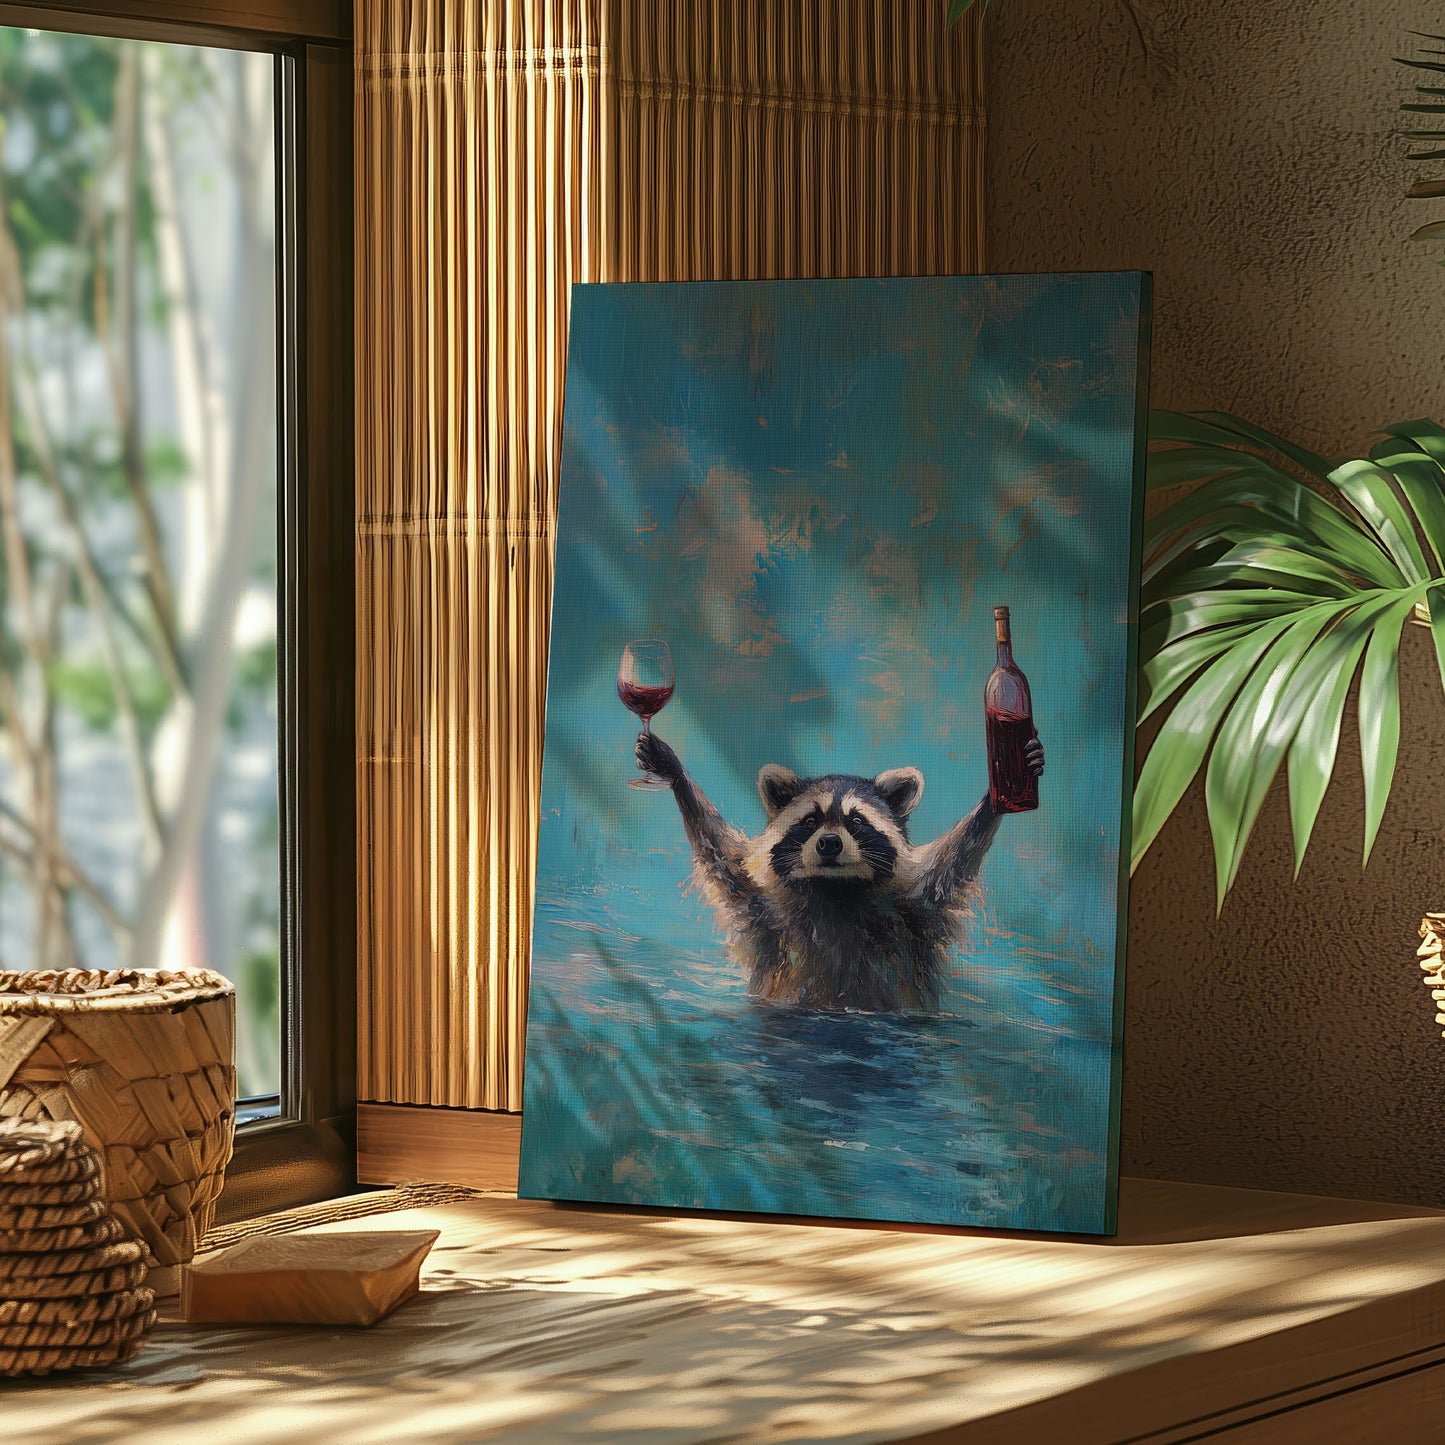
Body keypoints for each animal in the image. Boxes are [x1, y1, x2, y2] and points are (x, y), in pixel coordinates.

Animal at [634, 731, 1044, 1013]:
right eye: (810, 820)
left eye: (857, 821)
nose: (829, 843)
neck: (836, 888)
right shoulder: (763, 910)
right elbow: (718, 852)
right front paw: (676, 774)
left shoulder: (918, 912)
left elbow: (956, 858)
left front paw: (997, 795)